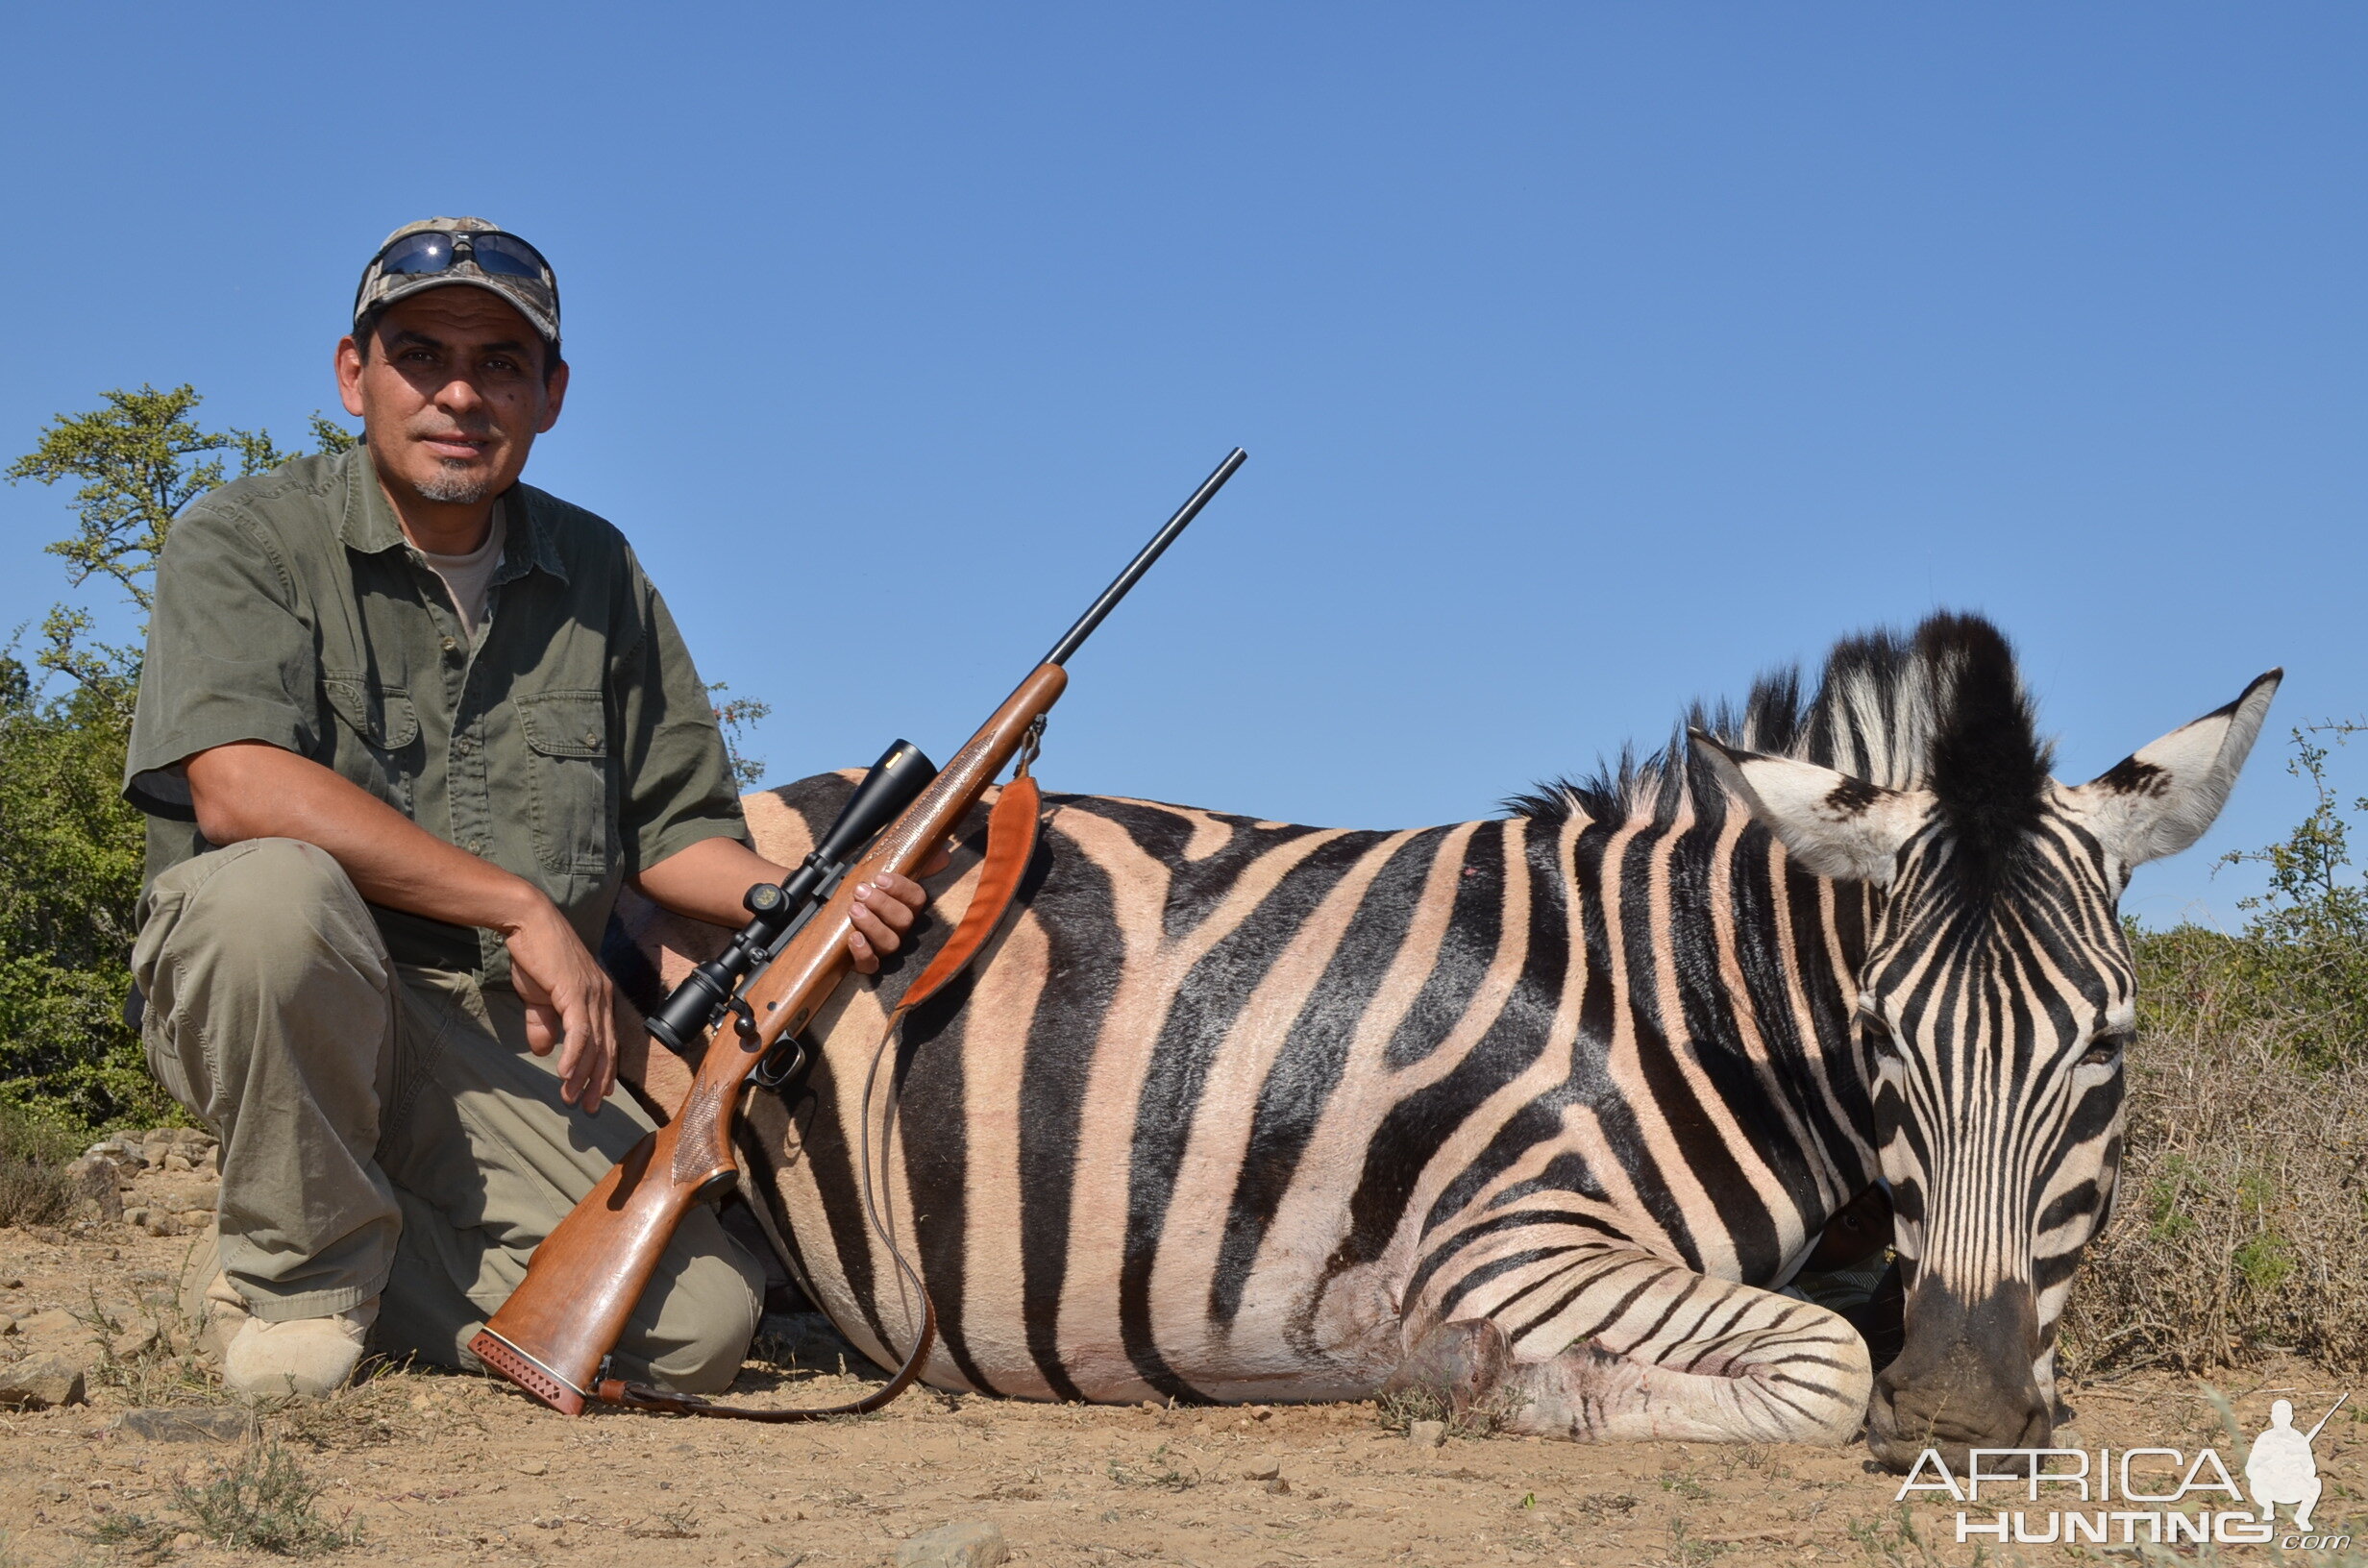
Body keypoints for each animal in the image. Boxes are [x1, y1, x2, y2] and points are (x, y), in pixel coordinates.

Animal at [620, 615, 2282, 1478]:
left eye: (2110, 1048)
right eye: (1882, 1044)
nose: (1961, 1415)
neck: (1693, 1000)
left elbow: (1841, 1323)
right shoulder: (1507, 1235)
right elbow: (1817, 1364)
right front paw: (1497, 1387)